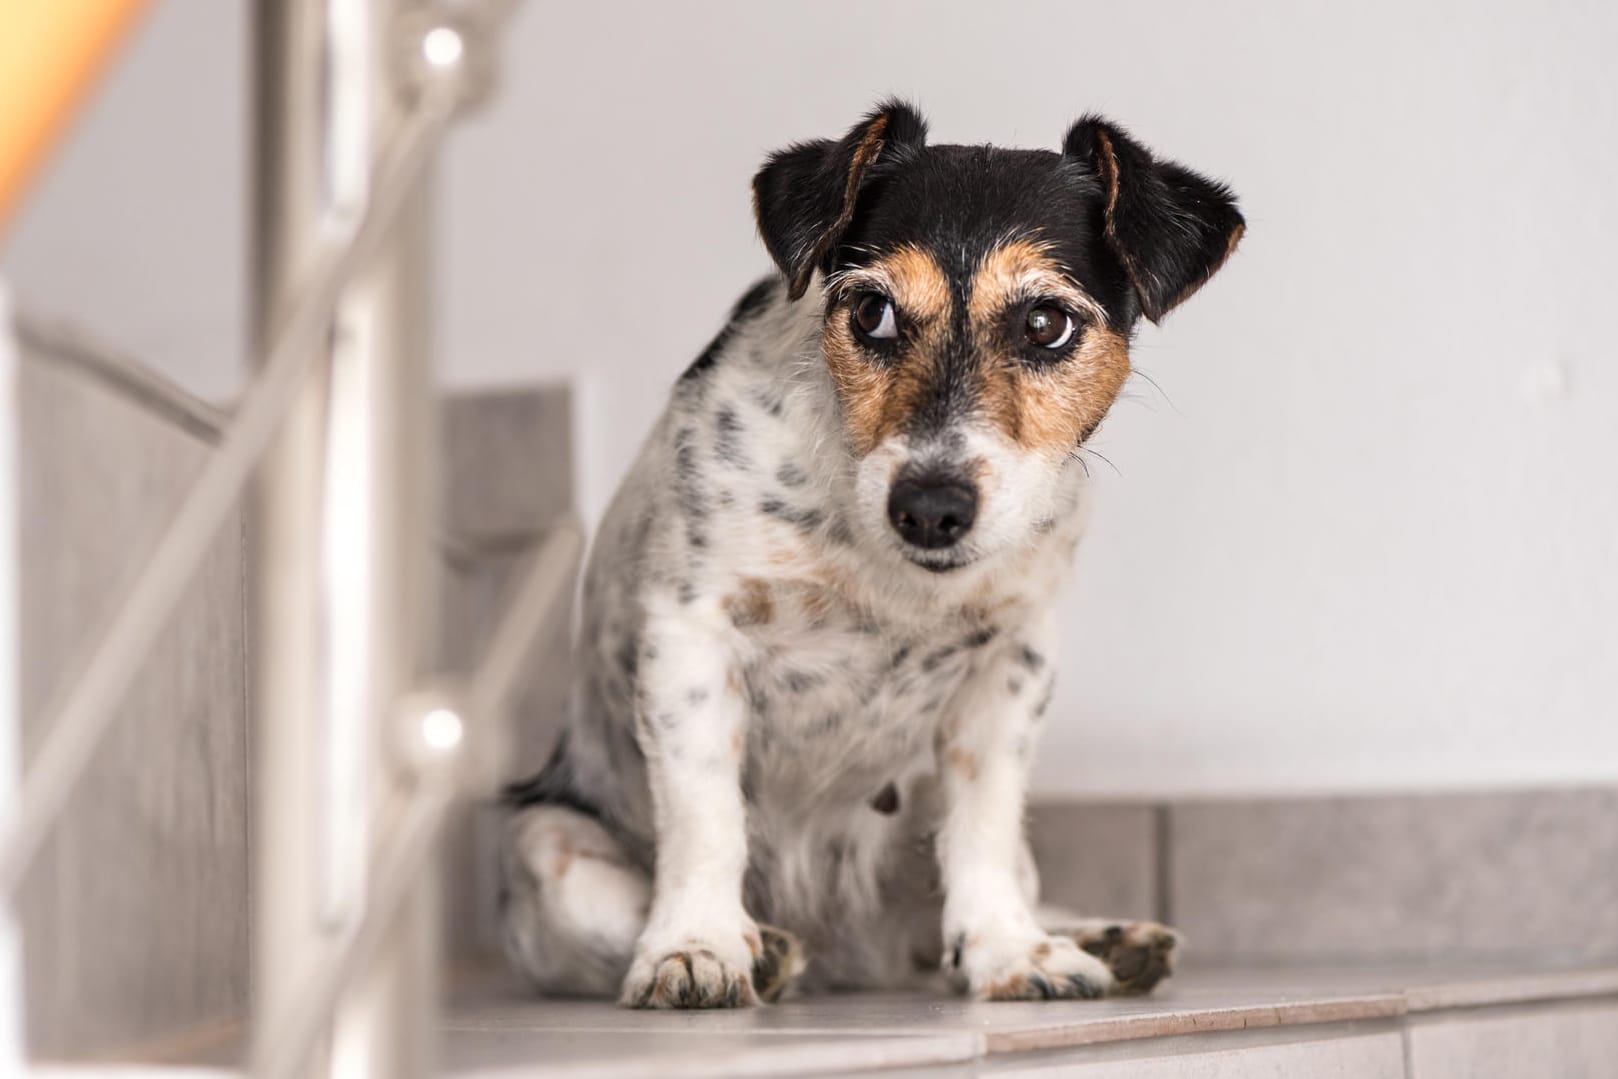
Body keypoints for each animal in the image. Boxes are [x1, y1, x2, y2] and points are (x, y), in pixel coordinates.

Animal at [498, 101, 1242, 1015]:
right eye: (871, 313)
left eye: (1046, 323)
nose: (930, 507)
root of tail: (850, 950)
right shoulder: (689, 634)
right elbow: (705, 812)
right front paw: (695, 945)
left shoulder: (1012, 664)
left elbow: (984, 824)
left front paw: (1009, 949)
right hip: (546, 848)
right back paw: (767, 950)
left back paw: (1098, 935)